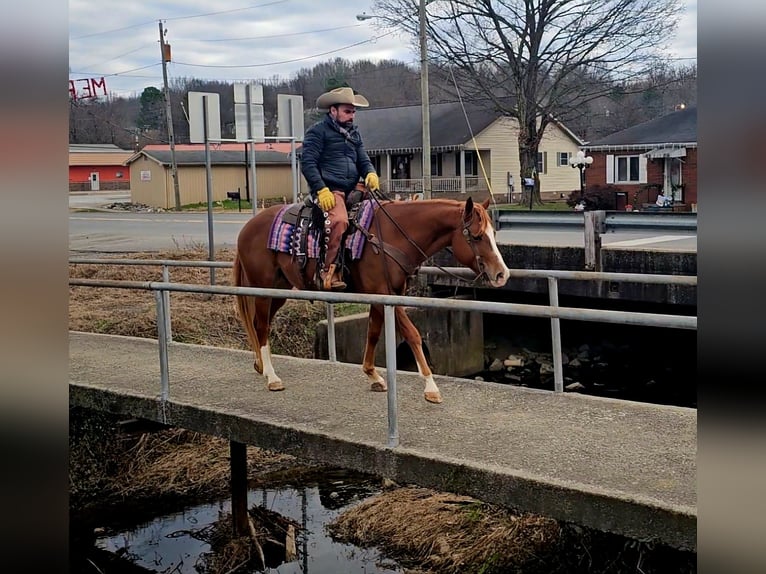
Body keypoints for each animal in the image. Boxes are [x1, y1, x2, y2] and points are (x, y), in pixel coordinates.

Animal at [233, 196, 510, 404]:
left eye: (493, 233)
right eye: (477, 236)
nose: (502, 274)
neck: (392, 236)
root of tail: (247, 227)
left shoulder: (383, 297)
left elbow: (374, 333)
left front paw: (373, 376)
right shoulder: (386, 294)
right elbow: (412, 334)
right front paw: (431, 386)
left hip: (278, 289)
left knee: (260, 324)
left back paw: (260, 365)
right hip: (263, 287)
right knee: (261, 326)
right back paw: (272, 377)